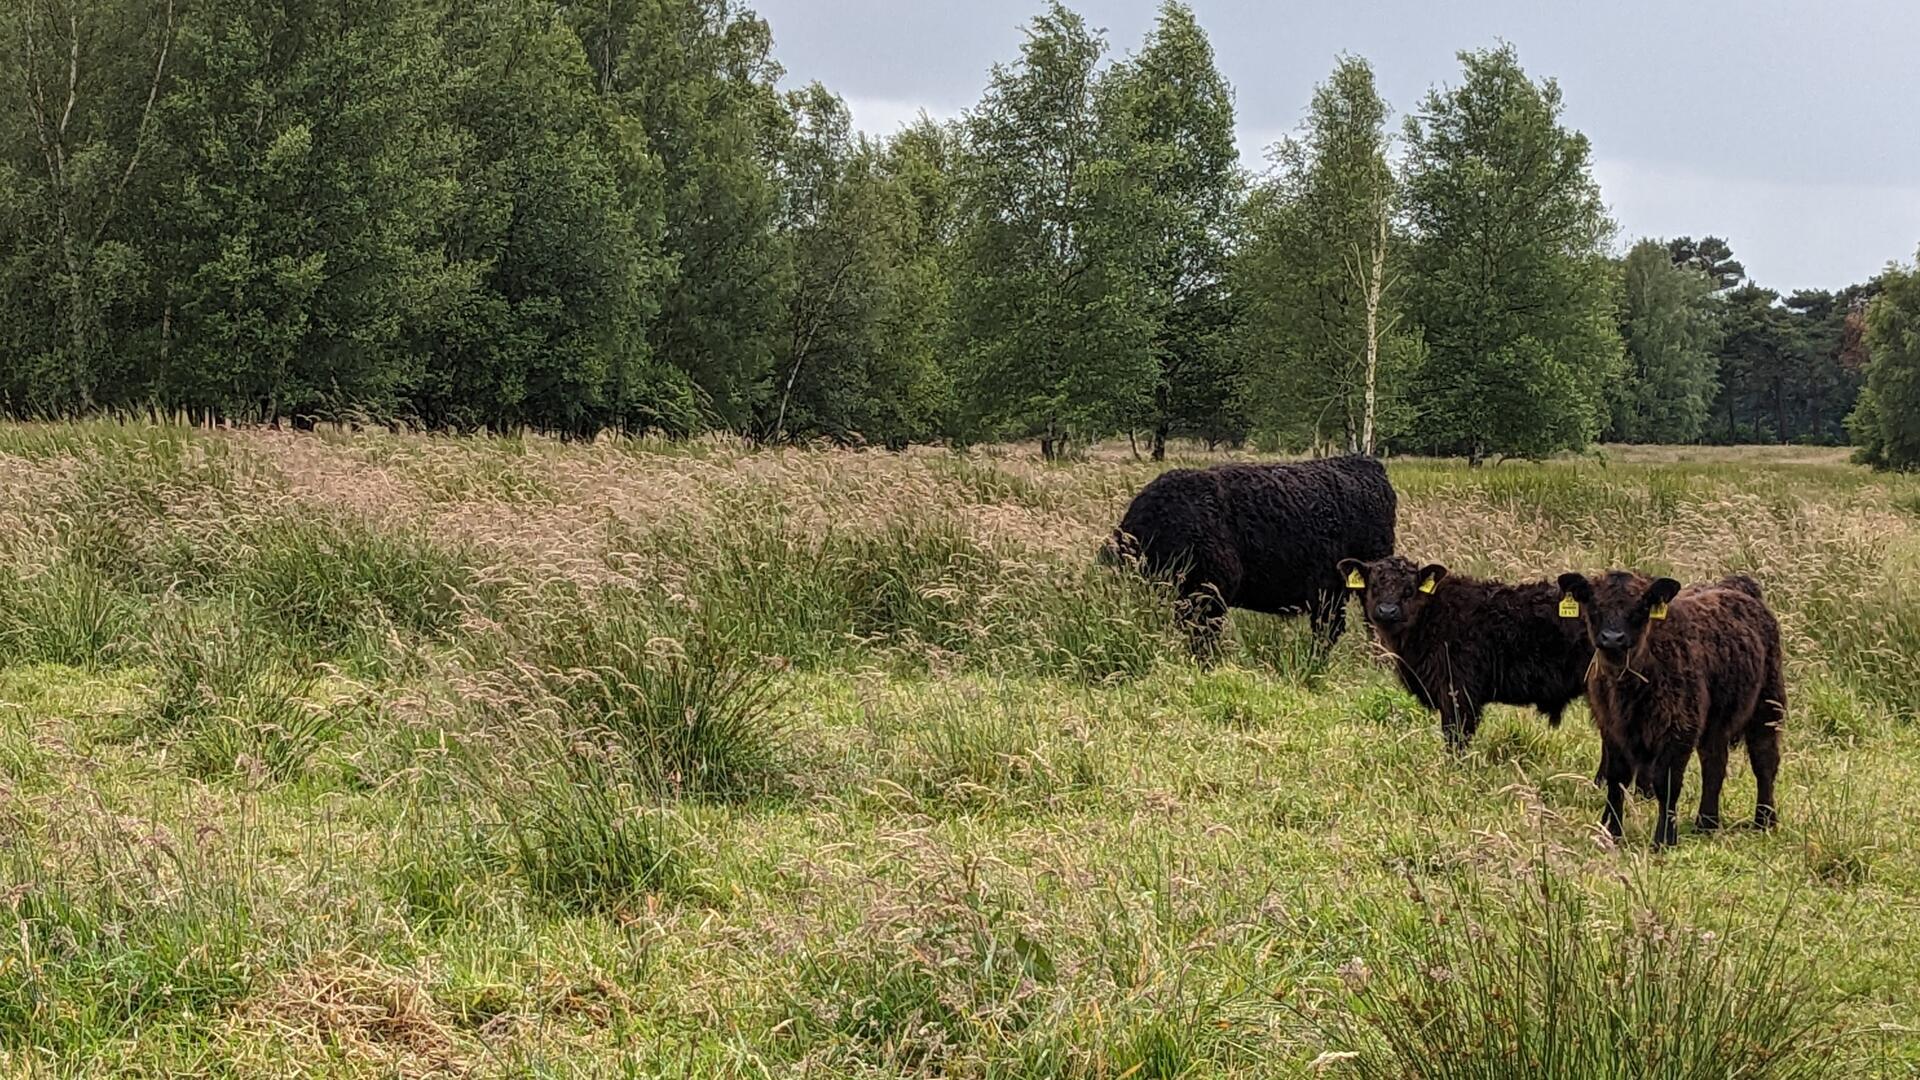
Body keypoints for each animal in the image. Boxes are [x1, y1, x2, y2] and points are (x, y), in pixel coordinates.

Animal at [1559, 568, 1781, 845]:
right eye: (1593, 604)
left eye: (1642, 606)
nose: (1613, 638)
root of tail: (1735, 584)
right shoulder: (1611, 728)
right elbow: (1617, 779)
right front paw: (1611, 832)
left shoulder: (1679, 727)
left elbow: (1666, 783)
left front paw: (1664, 838)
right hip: (1715, 722)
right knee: (1714, 764)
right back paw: (1706, 824)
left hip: (1767, 704)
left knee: (1764, 761)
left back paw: (1764, 820)